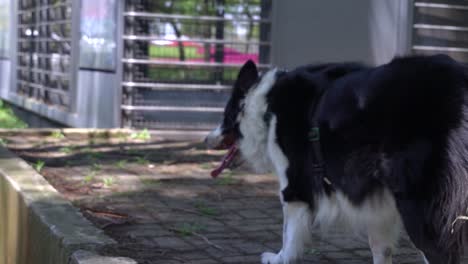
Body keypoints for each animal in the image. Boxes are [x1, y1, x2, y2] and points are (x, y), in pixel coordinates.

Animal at [205, 54, 468, 262]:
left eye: (225, 116)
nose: (205, 140)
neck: (265, 108)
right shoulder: (378, 200)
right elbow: (380, 247)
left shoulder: (295, 185)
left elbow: (289, 232)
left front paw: (279, 257)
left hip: (420, 206)